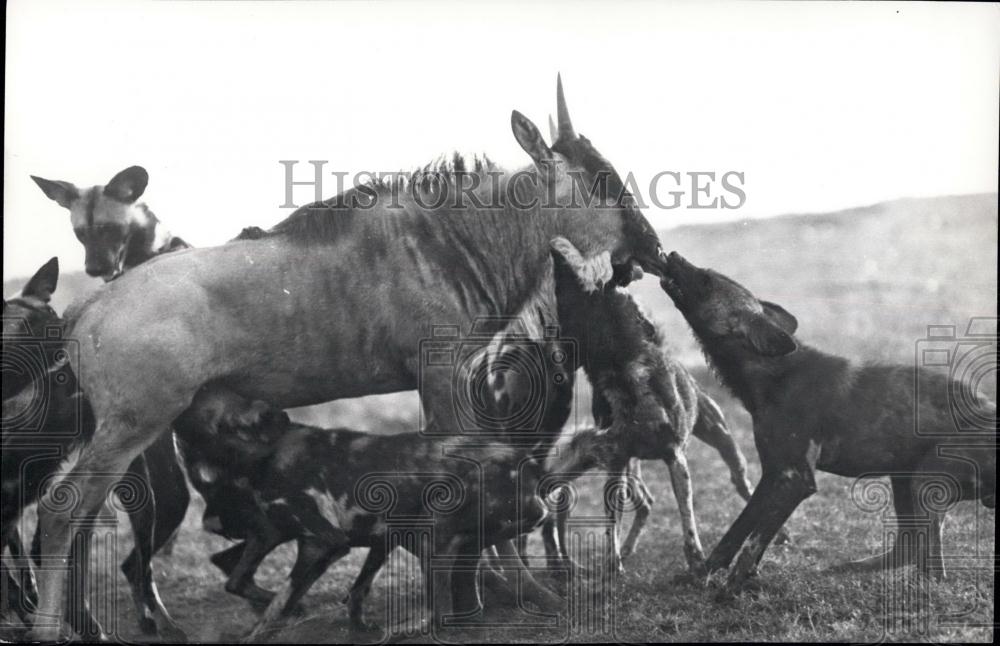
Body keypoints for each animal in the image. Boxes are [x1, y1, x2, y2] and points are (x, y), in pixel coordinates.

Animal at [544, 239, 776, 576]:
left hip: (723, 440)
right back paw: (626, 550)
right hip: (628, 470)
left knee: (742, 484)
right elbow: (611, 526)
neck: (626, 378)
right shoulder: (616, 464)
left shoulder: (675, 458)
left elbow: (687, 521)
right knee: (642, 505)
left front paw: (696, 561)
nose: (555, 248)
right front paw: (613, 564)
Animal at [660, 251, 996, 596]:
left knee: (933, 569)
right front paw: (703, 575)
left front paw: (729, 591)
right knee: (910, 547)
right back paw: (849, 569)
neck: (773, 375)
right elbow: (735, 535)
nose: (671, 254)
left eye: (706, 281)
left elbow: (752, 543)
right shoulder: (774, 476)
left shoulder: (795, 480)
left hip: (925, 482)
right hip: (904, 479)